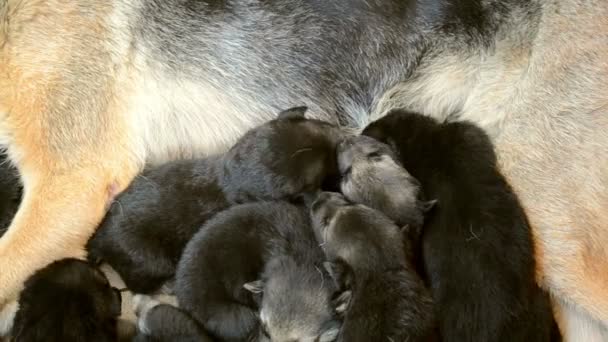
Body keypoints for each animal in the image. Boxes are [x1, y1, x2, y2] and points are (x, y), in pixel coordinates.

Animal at [86, 107, 344, 294]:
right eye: (329, 161)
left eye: (324, 125)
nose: (342, 135)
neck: (231, 176)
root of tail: (99, 236)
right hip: (145, 258)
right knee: (139, 283)